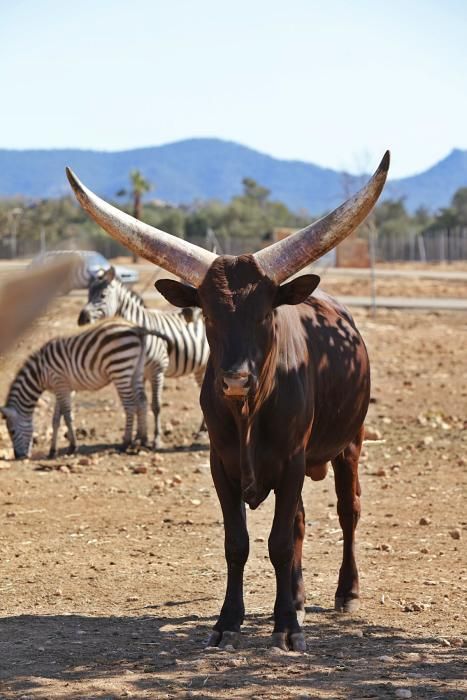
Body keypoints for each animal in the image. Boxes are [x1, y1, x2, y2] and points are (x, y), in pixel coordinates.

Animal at [0, 318, 161, 460]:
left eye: (12, 432)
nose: (19, 456)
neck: (39, 373)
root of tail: (137, 328)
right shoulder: (62, 388)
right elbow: (56, 420)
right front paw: (52, 451)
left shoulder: (61, 384)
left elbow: (67, 416)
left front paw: (72, 447)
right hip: (137, 370)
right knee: (142, 401)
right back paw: (142, 439)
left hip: (120, 369)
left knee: (130, 405)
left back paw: (125, 443)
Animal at [77, 266, 208, 446]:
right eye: (88, 294)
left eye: (102, 295)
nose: (82, 319)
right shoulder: (138, 372)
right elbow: (140, 402)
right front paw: (139, 436)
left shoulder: (157, 370)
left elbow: (156, 405)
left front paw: (156, 438)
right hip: (200, 367)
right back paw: (202, 431)